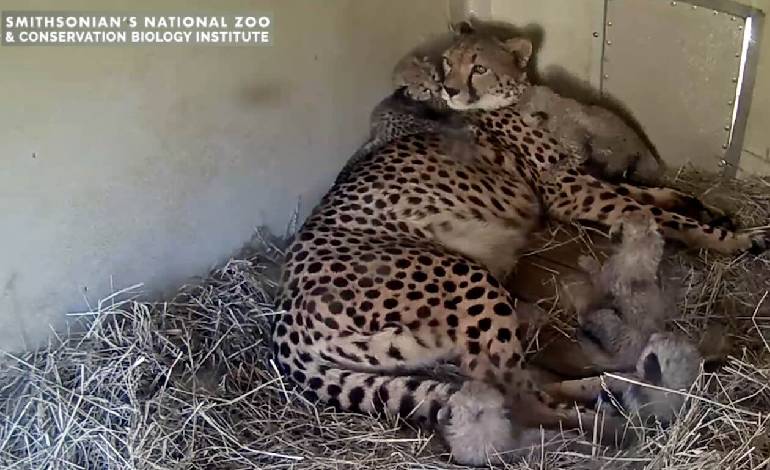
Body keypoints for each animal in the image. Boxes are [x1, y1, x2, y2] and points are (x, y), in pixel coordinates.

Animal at [272, 26, 768, 465]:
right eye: (448, 62)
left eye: (478, 67)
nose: (449, 89)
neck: (520, 100)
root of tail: (282, 316)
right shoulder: (567, 192)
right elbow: (653, 214)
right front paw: (736, 239)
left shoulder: (580, 181)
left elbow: (651, 196)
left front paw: (709, 210)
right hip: (463, 276)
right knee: (516, 396)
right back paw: (608, 427)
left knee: (523, 380)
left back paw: (610, 385)